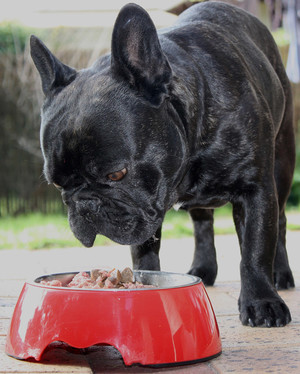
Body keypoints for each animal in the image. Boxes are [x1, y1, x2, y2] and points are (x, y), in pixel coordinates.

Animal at [30, 1, 296, 326]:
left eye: (117, 174)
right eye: (58, 184)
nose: (86, 205)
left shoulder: (254, 190)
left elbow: (255, 249)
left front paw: (262, 302)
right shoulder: (143, 216)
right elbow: (144, 251)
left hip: (282, 165)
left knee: (279, 221)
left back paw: (281, 274)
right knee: (202, 224)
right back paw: (204, 269)